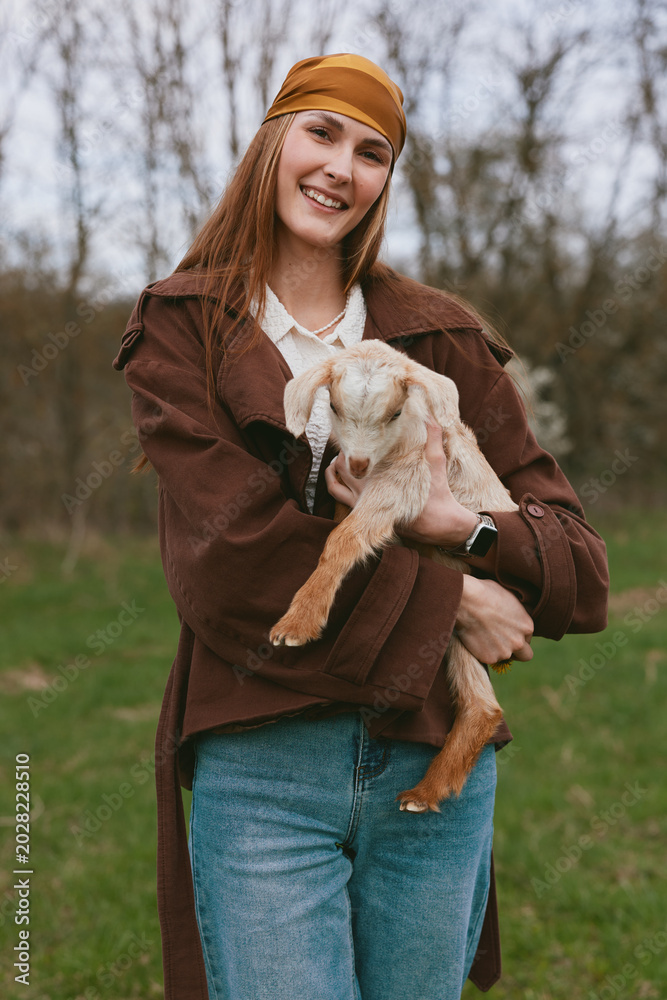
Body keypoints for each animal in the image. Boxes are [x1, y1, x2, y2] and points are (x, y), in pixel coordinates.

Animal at [269, 339, 519, 812]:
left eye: (395, 413)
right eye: (333, 405)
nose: (359, 463)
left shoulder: (409, 482)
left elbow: (345, 537)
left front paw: (298, 622)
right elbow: (341, 524)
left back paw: (424, 792)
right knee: (482, 702)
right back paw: (427, 791)